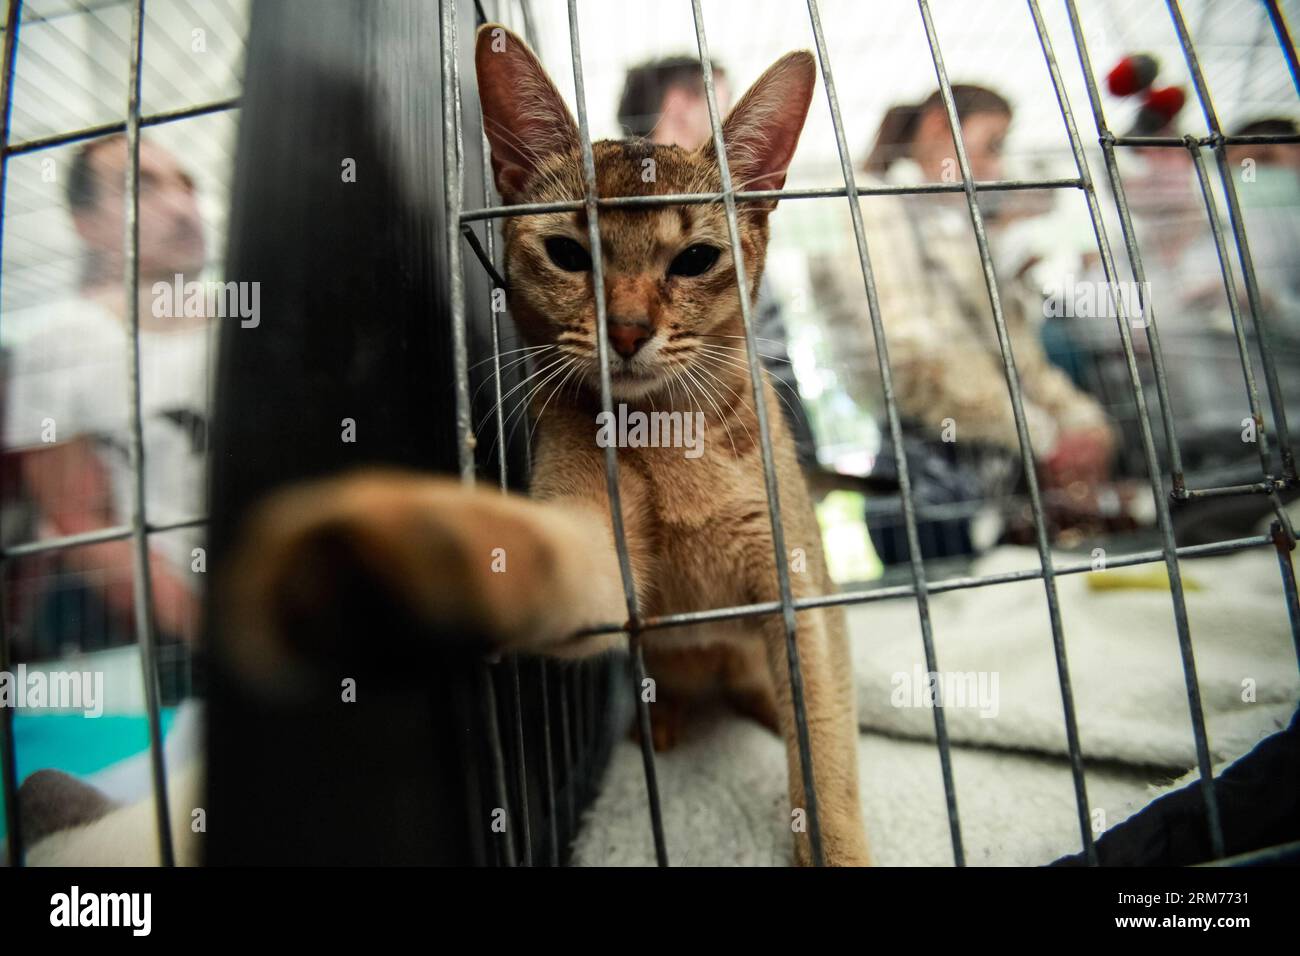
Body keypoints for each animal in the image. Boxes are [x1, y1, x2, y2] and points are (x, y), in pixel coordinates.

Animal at [220, 24, 873, 868]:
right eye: (568, 253)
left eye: (696, 259)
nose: (626, 331)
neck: (665, 435)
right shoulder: (606, 553)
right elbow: (548, 555)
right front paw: (416, 542)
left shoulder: (800, 591)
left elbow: (824, 752)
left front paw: (838, 845)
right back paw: (660, 720)